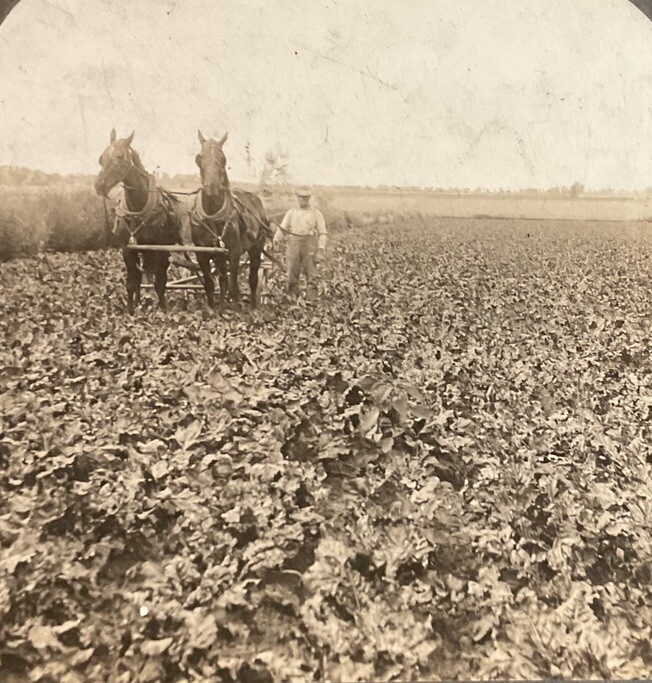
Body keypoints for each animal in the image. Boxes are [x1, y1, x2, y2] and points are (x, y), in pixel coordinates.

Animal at [94, 129, 182, 314]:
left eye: (120, 156)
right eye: (102, 157)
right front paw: (131, 311)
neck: (138, 208)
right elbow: (131, 282)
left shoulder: (161, 249)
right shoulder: (128, 249)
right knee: (140, 276)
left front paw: (163, 310)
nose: (99, 185)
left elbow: (160, 282)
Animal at [191, 130, 272, 308]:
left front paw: (236, 307)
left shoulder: (234, 252)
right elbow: (210, 283)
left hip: (256, 247)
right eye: (199, 158)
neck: (213, 215)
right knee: (222, 280)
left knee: (253, 278)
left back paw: (253, 306)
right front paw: (212, 309)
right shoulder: (202, 254)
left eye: (223, 159)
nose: (212, 187)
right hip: (221, 256)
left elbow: (234, 286)